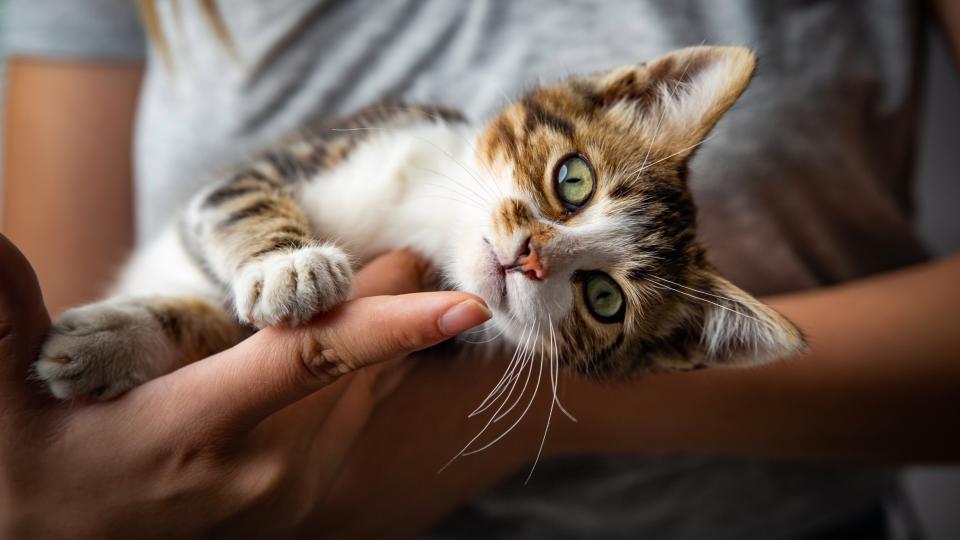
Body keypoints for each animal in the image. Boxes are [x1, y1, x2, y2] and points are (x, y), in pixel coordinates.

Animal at [35, 46, 804, 400]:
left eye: (605, 299)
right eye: (574, 181)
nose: (529, 257)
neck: (426, 218)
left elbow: (220, 323)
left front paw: (109, 345)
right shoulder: (298, 154)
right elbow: (239, 199)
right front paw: (287, 265)